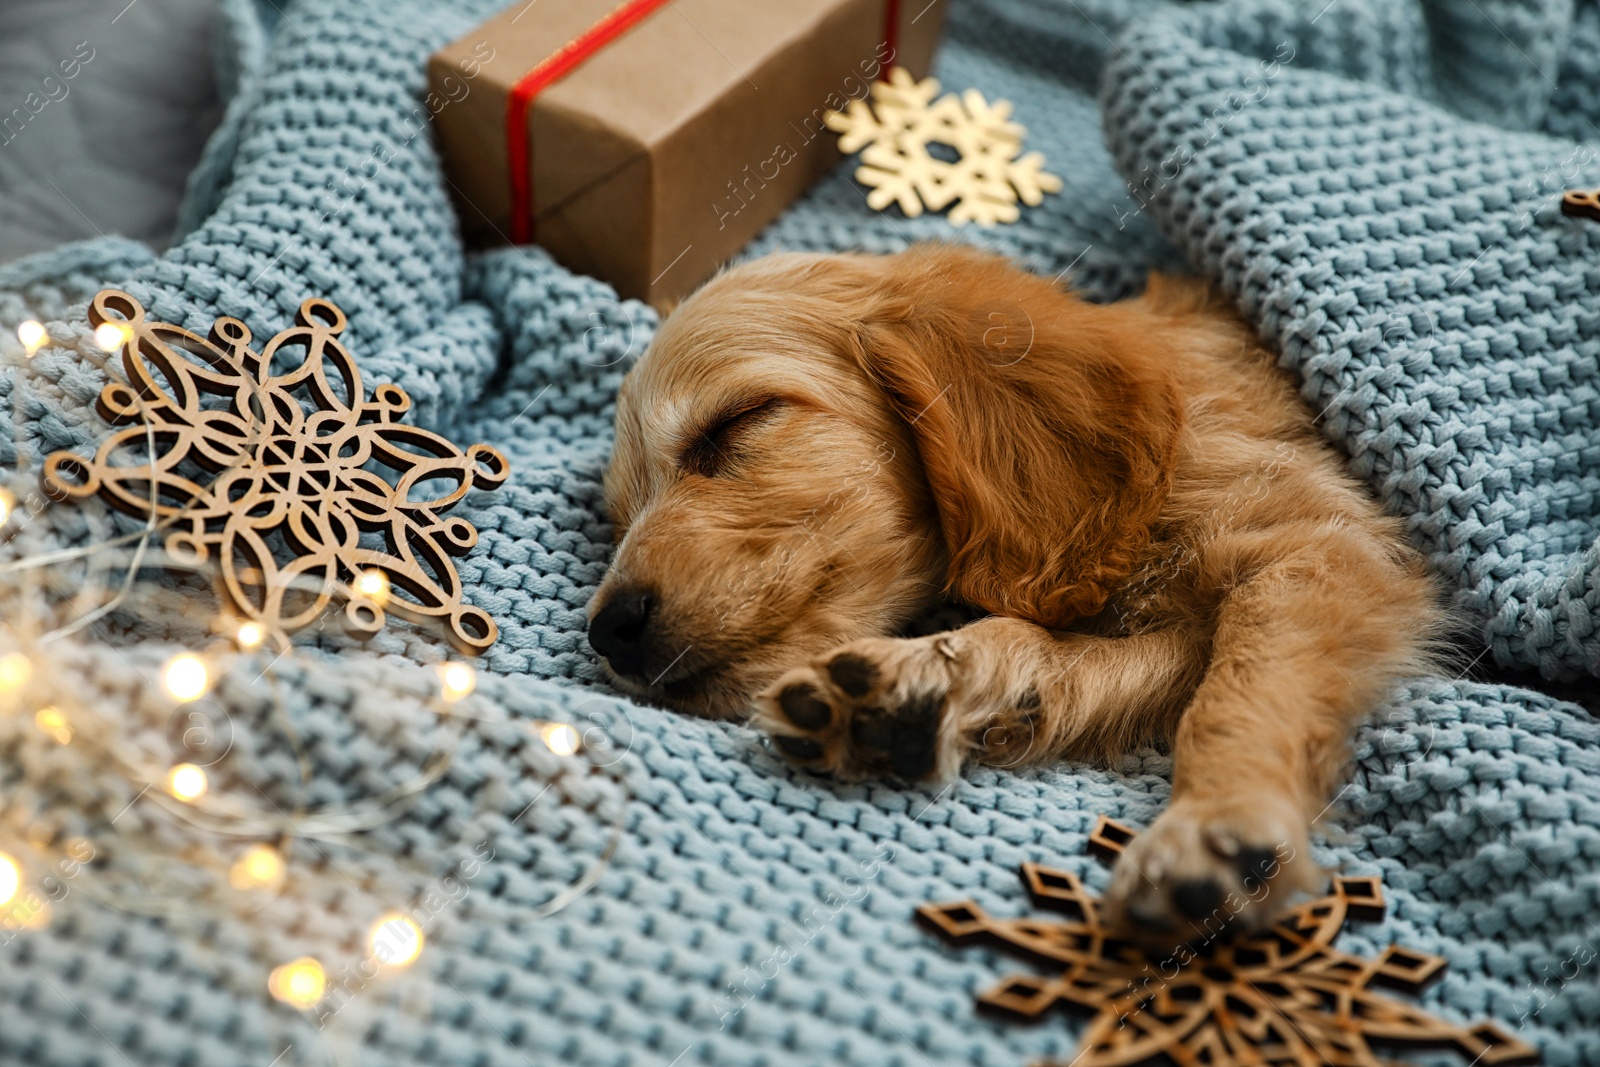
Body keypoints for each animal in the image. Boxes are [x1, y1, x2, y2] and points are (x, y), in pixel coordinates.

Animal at [588, 247, 1440, 940]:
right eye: (621, 515)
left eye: (737, 422)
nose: (608, 630)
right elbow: (1072, 651)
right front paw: (921, 682)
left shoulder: (1319, 546)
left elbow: (1237, 693)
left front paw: (1219, 823)